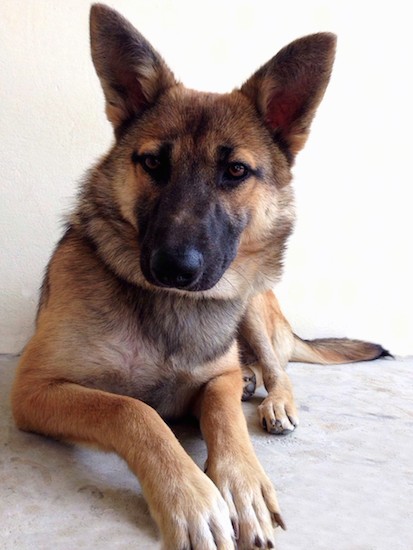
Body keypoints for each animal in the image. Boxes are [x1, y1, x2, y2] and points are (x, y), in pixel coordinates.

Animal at [11, 5, 388, 550]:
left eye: (235, 171)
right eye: (152, 162)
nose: (175, 268)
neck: (168, 307)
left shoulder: (219, 377)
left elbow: (224, 414)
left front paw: (242, 484)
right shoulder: (34, 390)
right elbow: (133, 411)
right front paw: (190, 497)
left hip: (253, 303)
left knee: (279, 372)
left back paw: (274, 401)